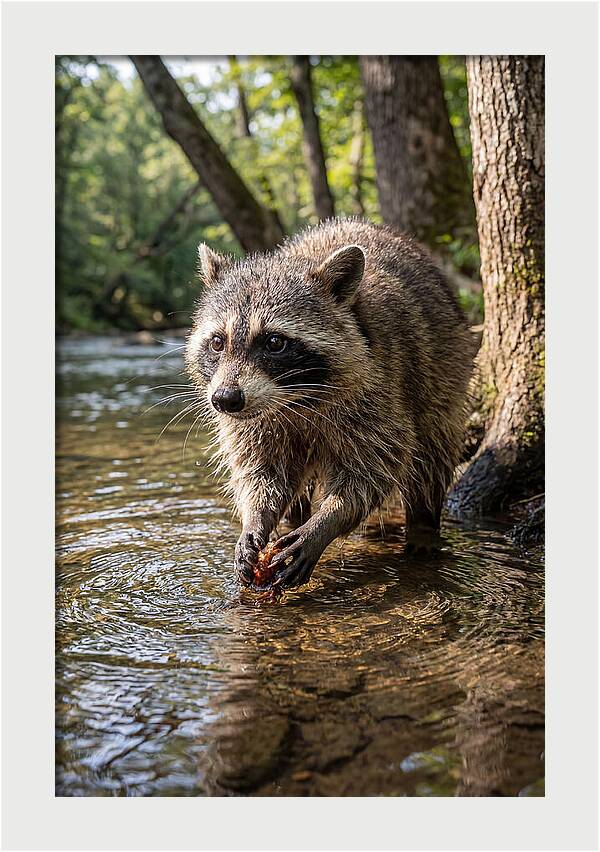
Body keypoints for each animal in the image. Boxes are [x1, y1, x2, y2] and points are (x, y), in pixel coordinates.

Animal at [185, 219, 473, 589]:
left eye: (275, 342)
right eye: (218, 342)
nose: (224, 400)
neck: (294, 398)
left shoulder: (379, 390)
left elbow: (374, 469)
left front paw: (327, 521)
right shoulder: (254, 421)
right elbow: (261, 471)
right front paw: (256, 518)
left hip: (444, 371)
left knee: (431, 456)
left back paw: (423, 525)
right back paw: (292, 519)